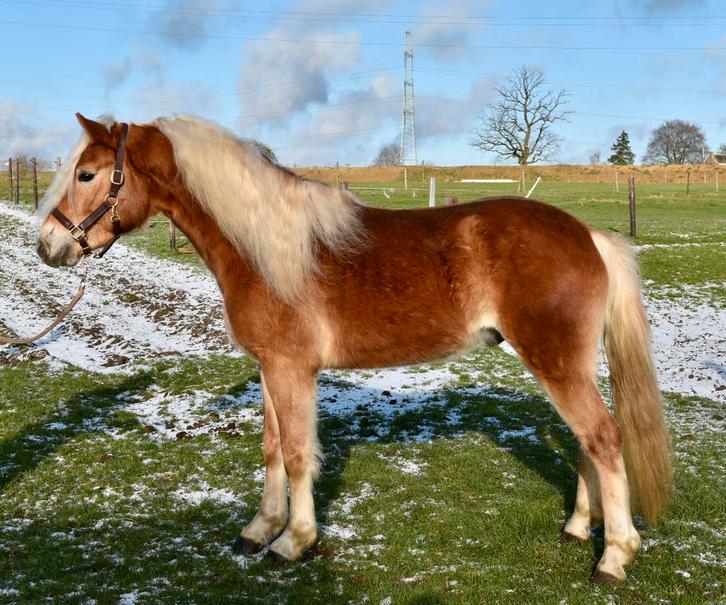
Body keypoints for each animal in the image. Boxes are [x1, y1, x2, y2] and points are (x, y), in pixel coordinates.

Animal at [36, 113, 672, 583]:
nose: (46, 245)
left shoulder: (292, 369)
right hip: (565, 365)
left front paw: (294, 542)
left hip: (556, 363)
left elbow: (297, 454)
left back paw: (614, 556)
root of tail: (588, 235)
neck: (266, 250)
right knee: (588, 439)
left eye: (88, 174)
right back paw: (578, 528)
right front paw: (258, 530)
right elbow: (272, 449)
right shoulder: (270, 368)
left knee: (603, 436)